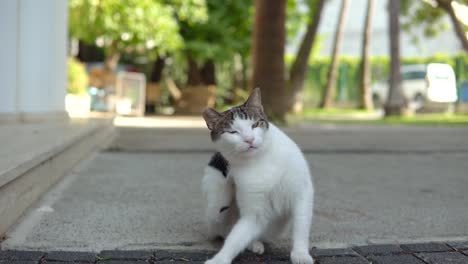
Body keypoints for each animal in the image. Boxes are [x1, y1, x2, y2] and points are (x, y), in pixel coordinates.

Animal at [201, 88, 314, 264]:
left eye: (255, 124)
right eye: (233, 132)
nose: (249, 139)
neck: (260, 158)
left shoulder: (302, 194)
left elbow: (301, 223)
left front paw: (300, 253)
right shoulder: (254, 212)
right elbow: (236, 237)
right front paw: (221, 258)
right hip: (214, 208)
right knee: (224, 226)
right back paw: (252, 243)